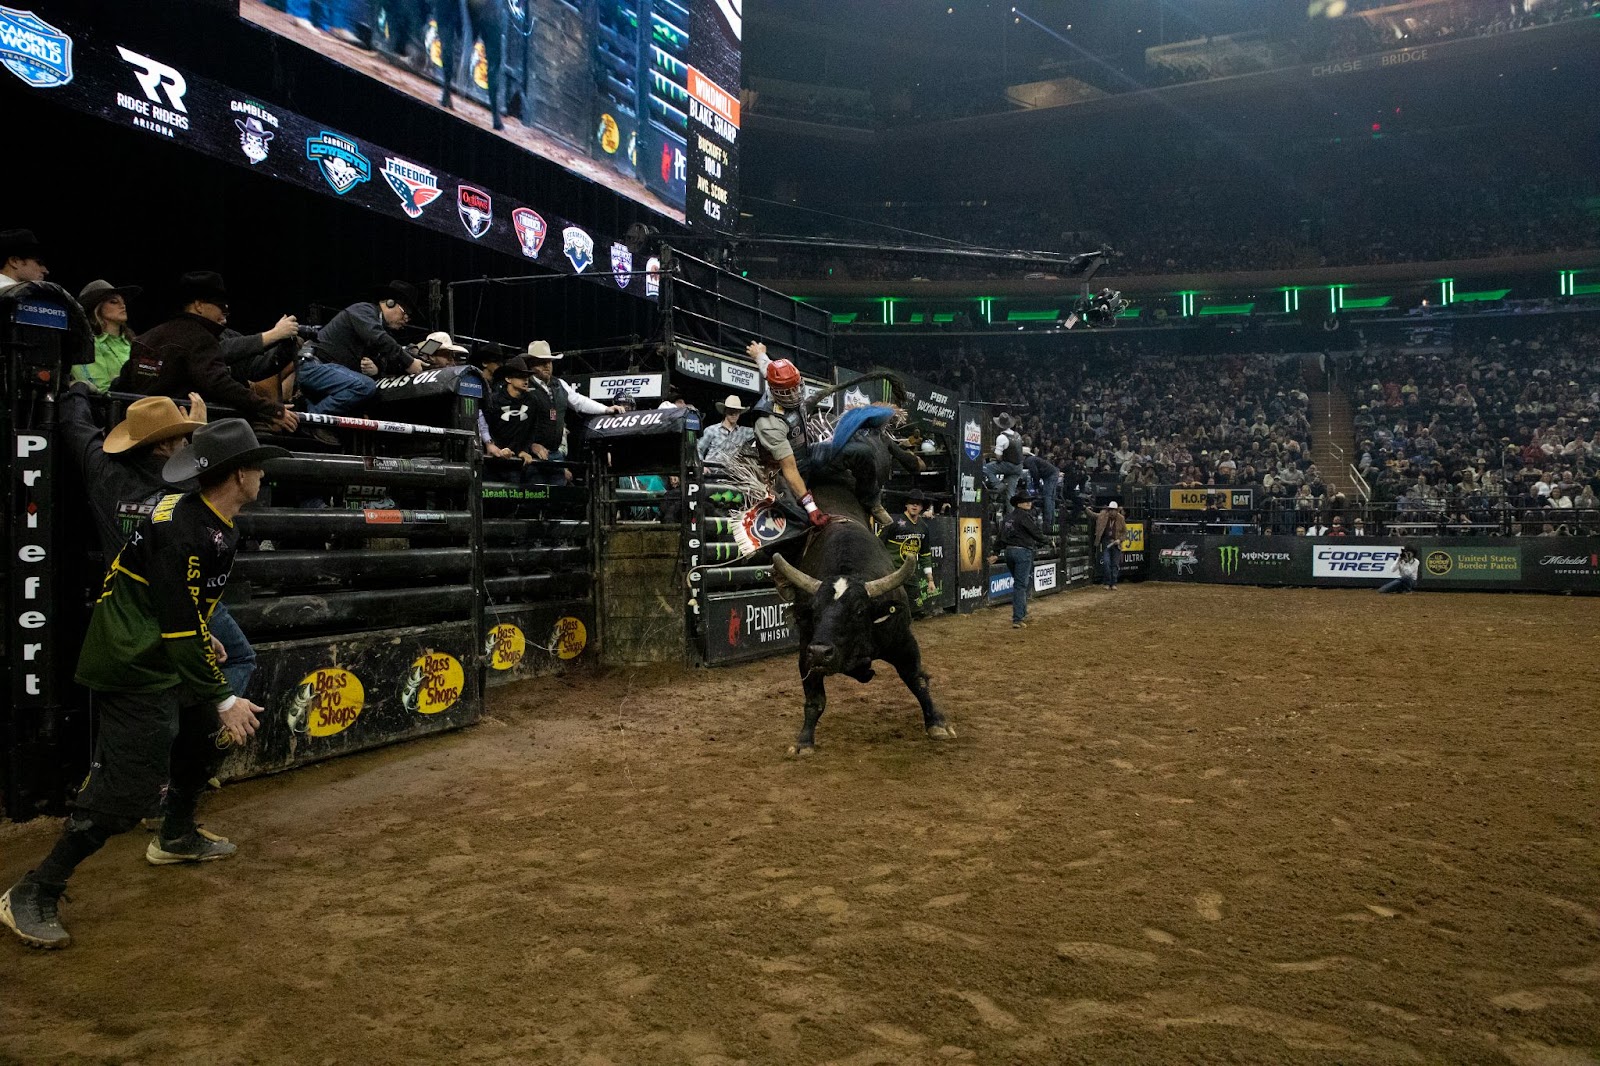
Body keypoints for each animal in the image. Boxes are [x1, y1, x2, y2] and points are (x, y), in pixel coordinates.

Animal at [771, 476, 953, 752]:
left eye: (858, 611)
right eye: (814, 611)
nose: (821, 652)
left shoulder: (903, 640)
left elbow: (917, 680)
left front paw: (937, 723)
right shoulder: (806, 651)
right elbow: (815, 699)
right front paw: (804, 741)